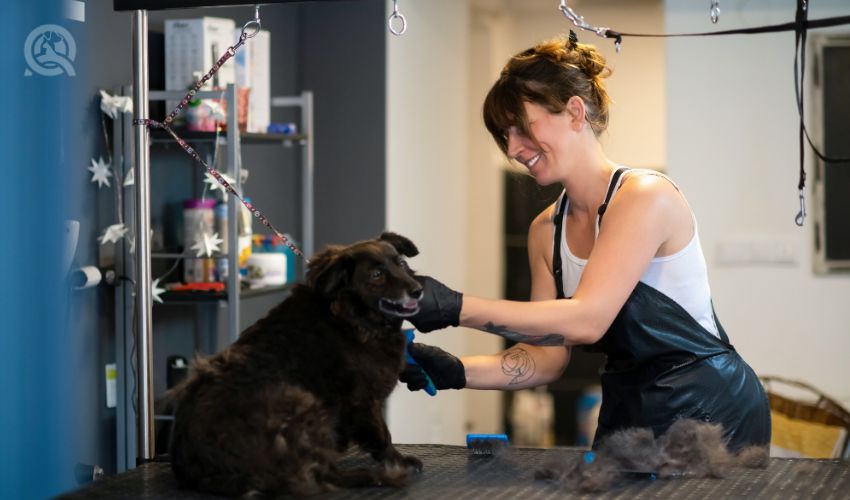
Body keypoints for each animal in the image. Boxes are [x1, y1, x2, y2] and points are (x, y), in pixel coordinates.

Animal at [168, 233, 424, 496]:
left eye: (401, 264)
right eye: (376, 275)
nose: (418, 290)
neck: (349, 318)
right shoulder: (362, 401)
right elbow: (382, 435)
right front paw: (399, 460)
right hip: (300, 400)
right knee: (324, 476)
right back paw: (377, 476)